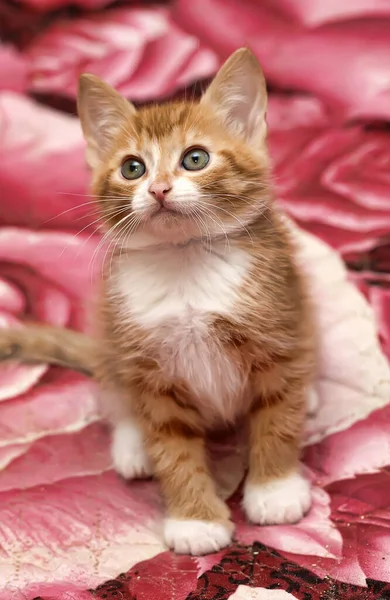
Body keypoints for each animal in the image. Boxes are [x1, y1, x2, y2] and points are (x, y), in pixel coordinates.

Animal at [0, 48, 316, 556]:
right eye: (133, 168)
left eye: (195, 158)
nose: (159, 189)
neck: (184, 262)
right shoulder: (150, 367)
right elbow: (171, 443)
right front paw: (195, 519)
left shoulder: (279, 328)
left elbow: (277, 415)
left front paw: (275, 489)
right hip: (110, 334)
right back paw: (132, 447)